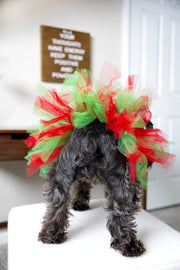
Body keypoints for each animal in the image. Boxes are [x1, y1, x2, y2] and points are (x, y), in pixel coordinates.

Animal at [38, 119, 153, 256]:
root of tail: (92, 137)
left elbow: (81, 184)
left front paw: (79, 203)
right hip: (124, 181)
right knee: (120, 215)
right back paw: (129, 245)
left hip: (61, 175)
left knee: (56, 205)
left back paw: (50, 235)